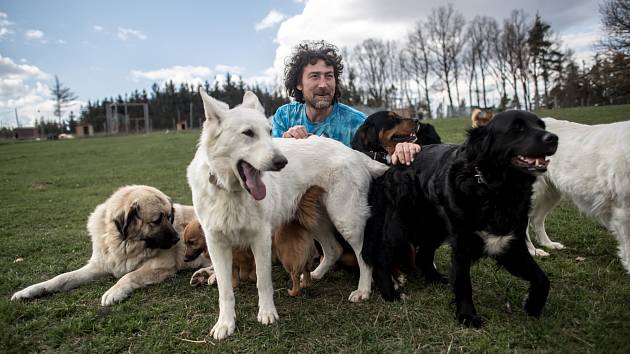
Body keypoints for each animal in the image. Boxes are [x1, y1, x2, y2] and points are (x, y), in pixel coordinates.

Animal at [185, 90, 388, 338]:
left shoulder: (261, 239)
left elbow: (263, 282)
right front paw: (225, 323)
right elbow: (225, 291)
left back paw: (363, 290)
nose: (282, 162)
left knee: (363, 256)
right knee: (333, 249)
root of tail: (354, 153)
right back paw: (316, 274)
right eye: (248, 133)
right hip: (315, 220)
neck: (231, 192)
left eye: (269, 132)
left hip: (346, 220)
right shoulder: (216, 244)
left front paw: (267, 314)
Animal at [362, 110, 560, 326]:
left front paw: (533, 306)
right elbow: (464, 283)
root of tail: (393, 163)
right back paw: (389, 293)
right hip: (400, 225)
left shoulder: (510, 244)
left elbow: (543, 279)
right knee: (383, 256)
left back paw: (436, 279)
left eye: (541, 126)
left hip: (434, 227)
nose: (554, 138)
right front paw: (467, 316)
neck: (496, 190)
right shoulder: (463, 244)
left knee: (423, 256)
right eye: (517, 128)